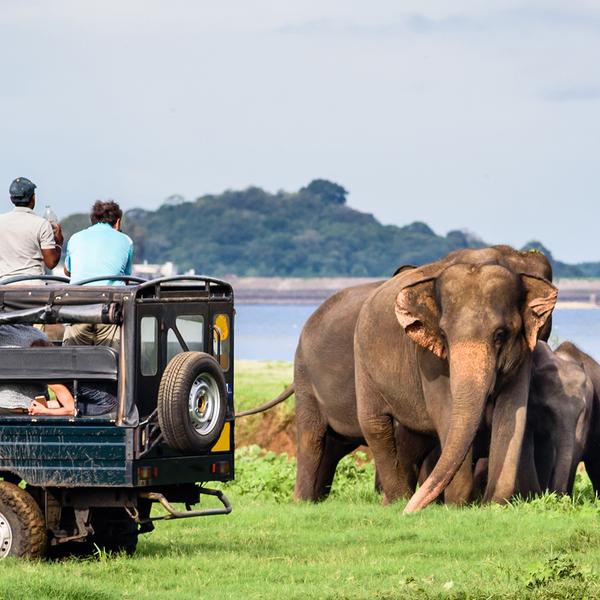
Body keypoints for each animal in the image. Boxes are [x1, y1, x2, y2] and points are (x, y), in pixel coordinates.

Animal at [292, 246, 556, 512]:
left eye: (500, 334)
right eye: (444, 335)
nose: (410, 512)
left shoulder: (524, 353)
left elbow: (512, 415)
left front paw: (493, 505)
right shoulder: (429, 358)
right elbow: (446, 413)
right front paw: (456, 506)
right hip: (346, 366)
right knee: (360, 427)